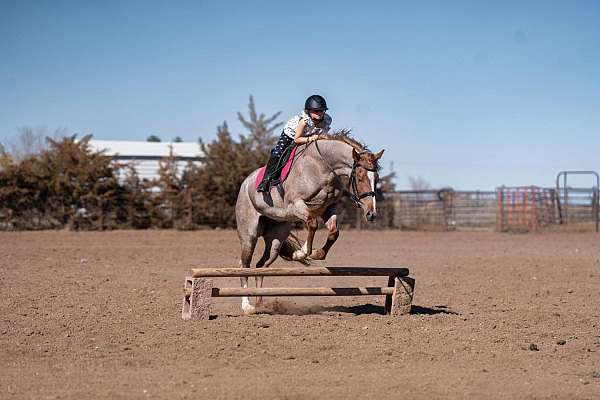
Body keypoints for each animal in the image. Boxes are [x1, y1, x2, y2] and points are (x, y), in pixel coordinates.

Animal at [234, 130, 384, 312]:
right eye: (360, 177)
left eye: (377, 177)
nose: (371, 214)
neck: (322, 167)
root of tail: (245, 183)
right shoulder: (295, 205)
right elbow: (312, 223)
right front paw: (302, 252)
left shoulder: (329, 208)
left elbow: (334, 232)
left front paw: (316, 253)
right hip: (249, 235)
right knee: (244, 265)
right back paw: (246, 305)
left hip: (275, 238)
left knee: (261, 266)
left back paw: (260, 303)